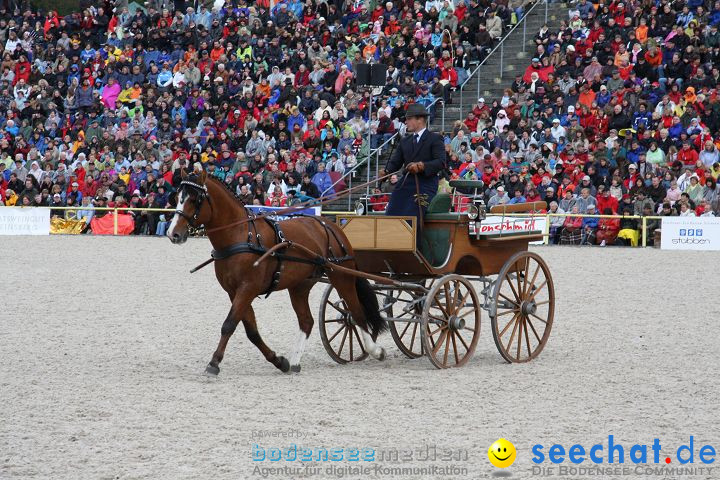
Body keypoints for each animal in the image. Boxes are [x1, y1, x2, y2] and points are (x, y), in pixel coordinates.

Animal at [167, 172, 388, 376]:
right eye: (177, 197)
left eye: (194, 200)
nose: (173, 234)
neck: (240, 235)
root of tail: (330, 224)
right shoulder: (234, 292)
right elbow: (251, 331)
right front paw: (279, 361)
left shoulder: (247, 288)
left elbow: (229, 324)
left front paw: (214, 363)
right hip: (300, 285)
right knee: (307, 321)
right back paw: (295, 361)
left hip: (342, 276)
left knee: (356, 313)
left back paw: (375, 350)